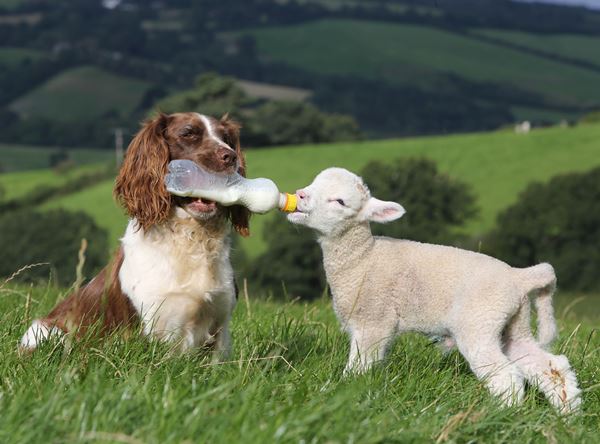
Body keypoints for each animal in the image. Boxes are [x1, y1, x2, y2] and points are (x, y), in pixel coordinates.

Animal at [18, 112, 248, 358]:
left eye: (226, 138)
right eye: (188, 133)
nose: (230, 157)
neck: (191, 238)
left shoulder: (220, 325)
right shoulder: (153, 326)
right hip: (48, 332)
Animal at [288, 168, 580, 414]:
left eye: (339, 202)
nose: (300, 195)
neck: (362, 259)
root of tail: (519, 277)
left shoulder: (373, 321)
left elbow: (359, 366)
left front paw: (343, 393)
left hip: (479, 323)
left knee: (506, 375)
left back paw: (502, 414)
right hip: (513, 325)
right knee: (552, 367)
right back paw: (569, 415)